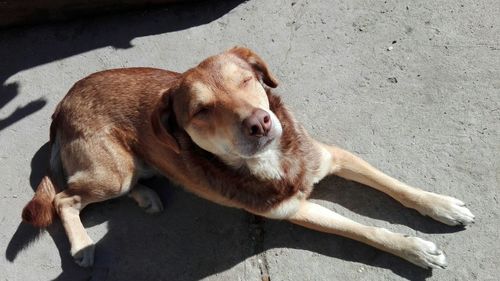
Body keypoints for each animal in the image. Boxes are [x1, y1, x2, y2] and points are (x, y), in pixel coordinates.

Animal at [22, 46, 472, 270]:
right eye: (202, 110)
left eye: (245, 80)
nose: (259, 122)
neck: (274, 160)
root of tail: (59, 107)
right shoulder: (294, 210)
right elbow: (366, 230)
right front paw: (413, 248)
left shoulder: (333, 157)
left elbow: (398, 187)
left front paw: (441, 205)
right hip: (111, 171)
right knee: (65, 198)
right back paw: (83, 245)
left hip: (128, 169)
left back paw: (147, 196)